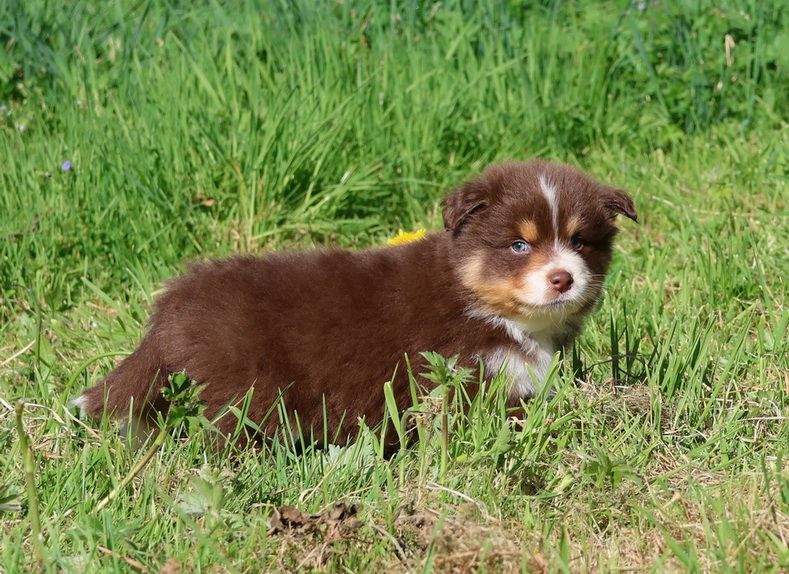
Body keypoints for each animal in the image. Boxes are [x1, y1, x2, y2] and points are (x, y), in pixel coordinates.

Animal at [74, 160, 636, 442]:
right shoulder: (459, 376)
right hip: (243, 388)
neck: (478, 302)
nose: (563, 278)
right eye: (519, 245)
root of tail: (173, 303)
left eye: (580, 241)